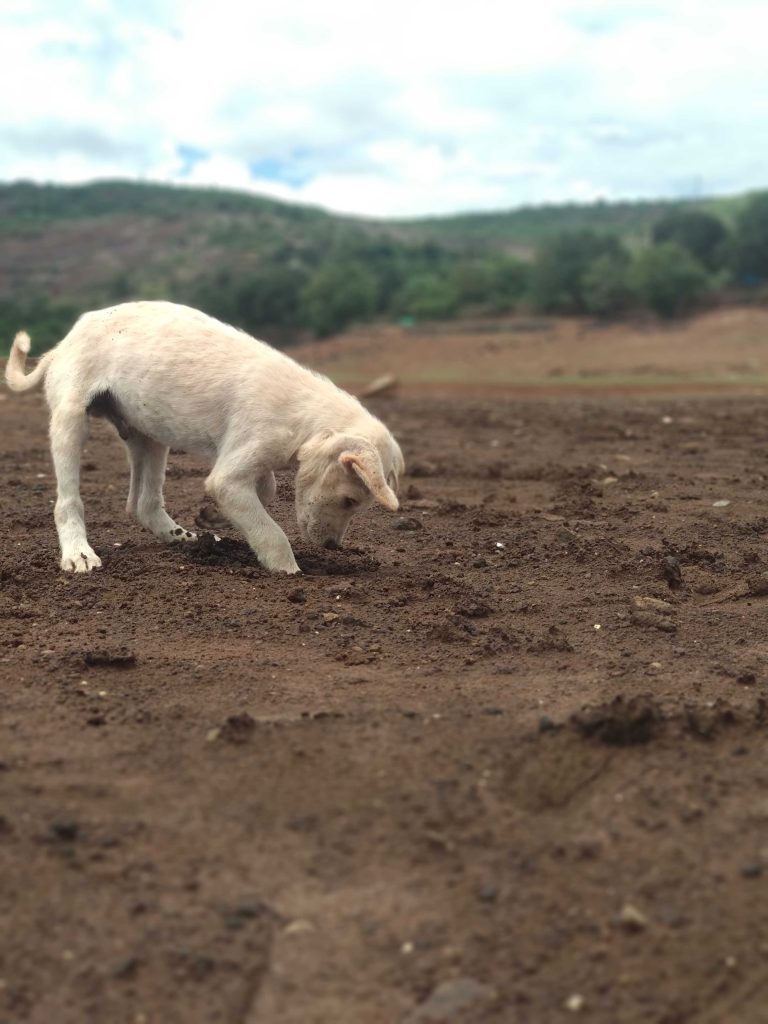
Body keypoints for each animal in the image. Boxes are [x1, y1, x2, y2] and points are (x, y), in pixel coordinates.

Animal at [6, 303, 405, 577]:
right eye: (350, 500)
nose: (332, 547)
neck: (306, 418)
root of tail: (62, 345)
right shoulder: (229, 476)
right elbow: (269, 530)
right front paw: (288, 571)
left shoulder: (243, 459)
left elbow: (267, 490)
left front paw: (212, 516)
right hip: (71, 420)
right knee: (68, 501)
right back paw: (78, 553)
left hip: (148, 433)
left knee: (142, 504)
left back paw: (182, 536)